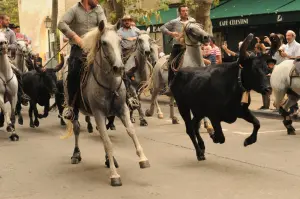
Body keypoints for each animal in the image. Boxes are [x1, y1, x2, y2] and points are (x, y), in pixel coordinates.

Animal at [170, 33, 274, 162]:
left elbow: (257, 123)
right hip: (183, 106)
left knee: (194, 126)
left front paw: (248, 140)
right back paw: (199, 152)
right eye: (254, 69)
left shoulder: (242, 111)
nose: (268, 89)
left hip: (198, 111)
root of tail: (178, 73)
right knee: (189, 128)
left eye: (267, 69)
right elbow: (220, 136)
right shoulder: (213, 115)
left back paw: (202, 147)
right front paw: (214, 136)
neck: (233, 86)